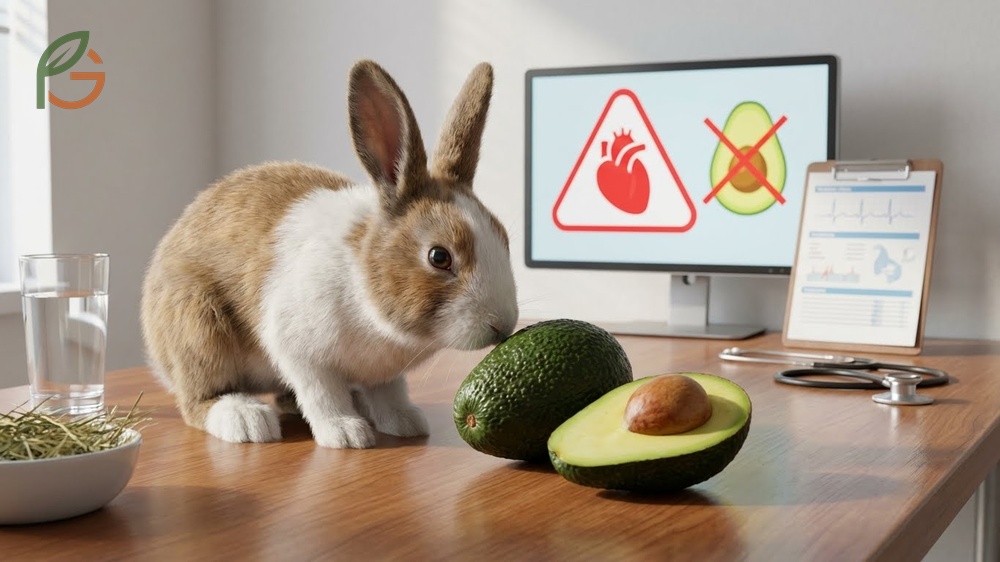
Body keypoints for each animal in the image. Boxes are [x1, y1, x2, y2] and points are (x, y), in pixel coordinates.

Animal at [139, 60, 519, 449]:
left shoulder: (385, 374)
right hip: (197, 325)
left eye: (504, 238)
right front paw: (345, 433)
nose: (502, 324)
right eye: (439, 257)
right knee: (197, 400)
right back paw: (246, 419)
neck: (364, 285)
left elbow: (390, 393)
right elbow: (322, 394)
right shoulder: (300, 353)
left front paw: (404, 422)